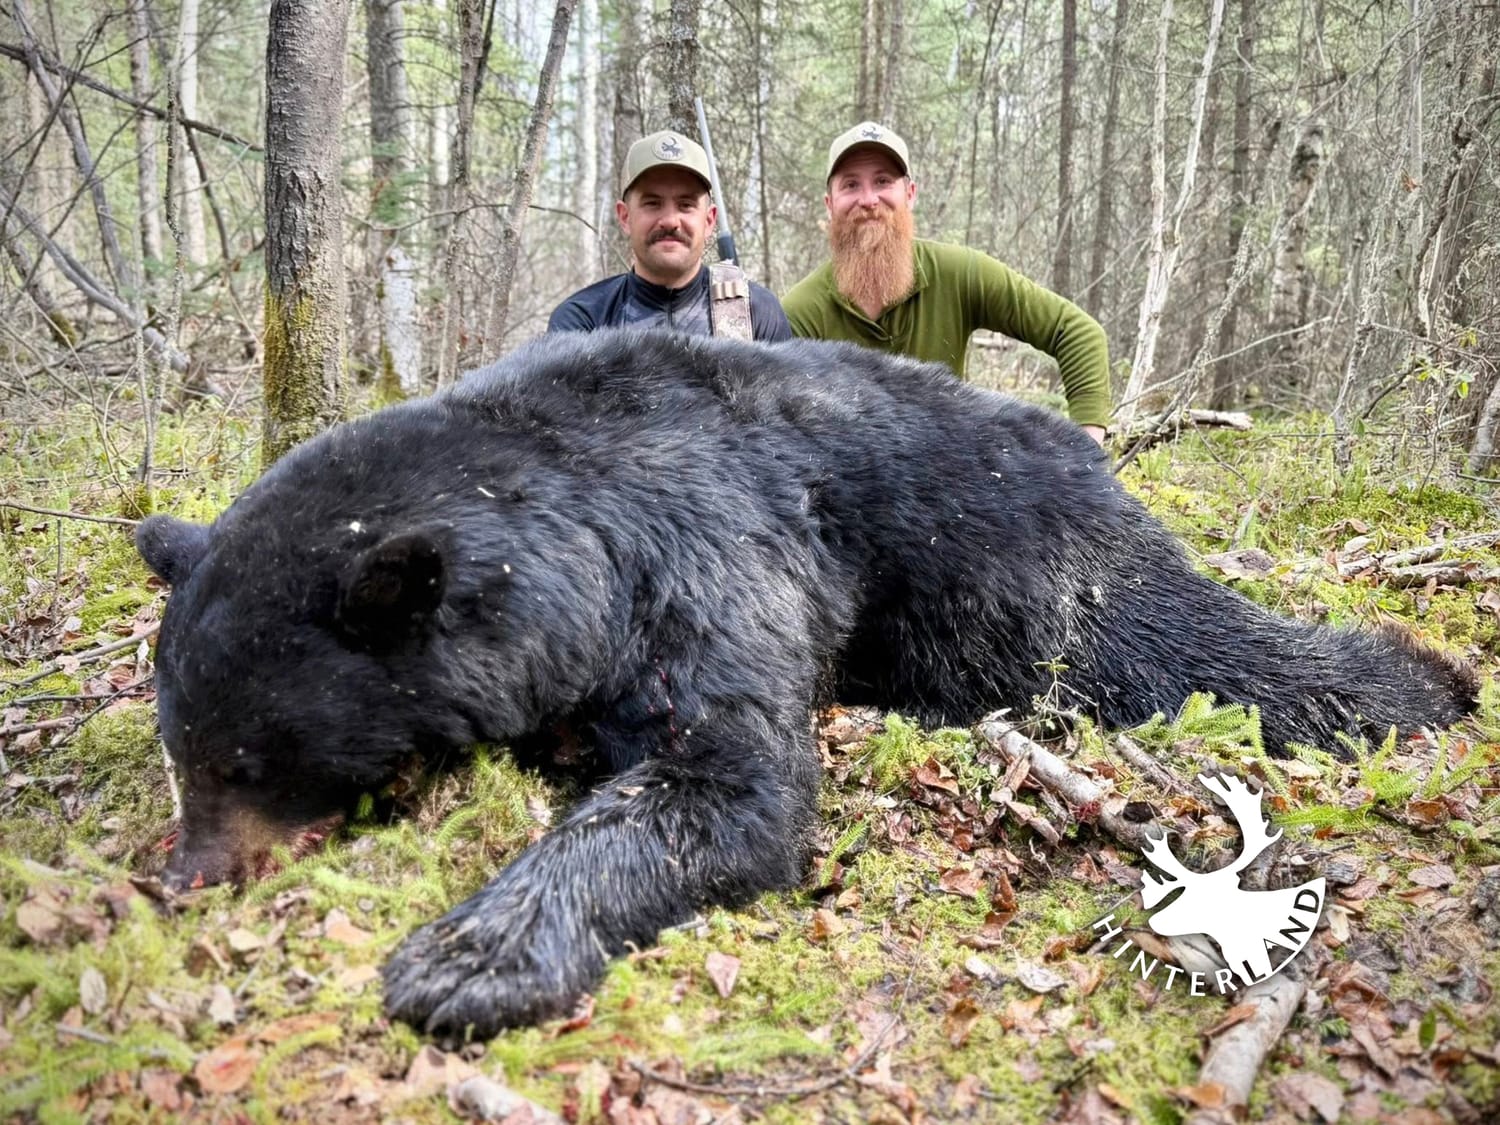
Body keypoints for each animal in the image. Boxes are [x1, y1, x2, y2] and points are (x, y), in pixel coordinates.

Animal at [135, 329, 1476, 1038]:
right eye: (181, 747)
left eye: (251, 757)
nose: (184, 879)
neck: (570, 545)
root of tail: (1087, 450)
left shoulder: (700, 560)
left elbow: (721, 780)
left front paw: (466, 958)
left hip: (1012, 576)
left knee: (1176, 646)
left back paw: (1423, 680)